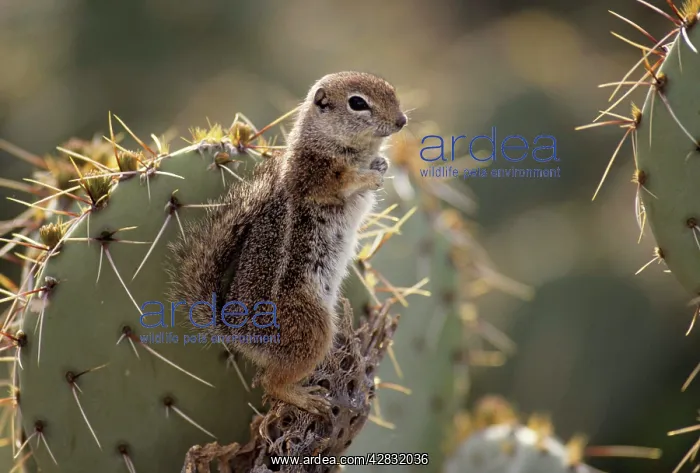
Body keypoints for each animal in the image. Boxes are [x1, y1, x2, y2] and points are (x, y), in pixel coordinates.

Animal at [167, 71, 407, 415]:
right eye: (358, 103)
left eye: (391, 91)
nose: (401, 121)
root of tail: (237, 334)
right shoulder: (313, 174)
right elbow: (341, 181)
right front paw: (368, 177)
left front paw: (382, 164)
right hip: (312, 328)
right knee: (270, 383)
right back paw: (304, 398)